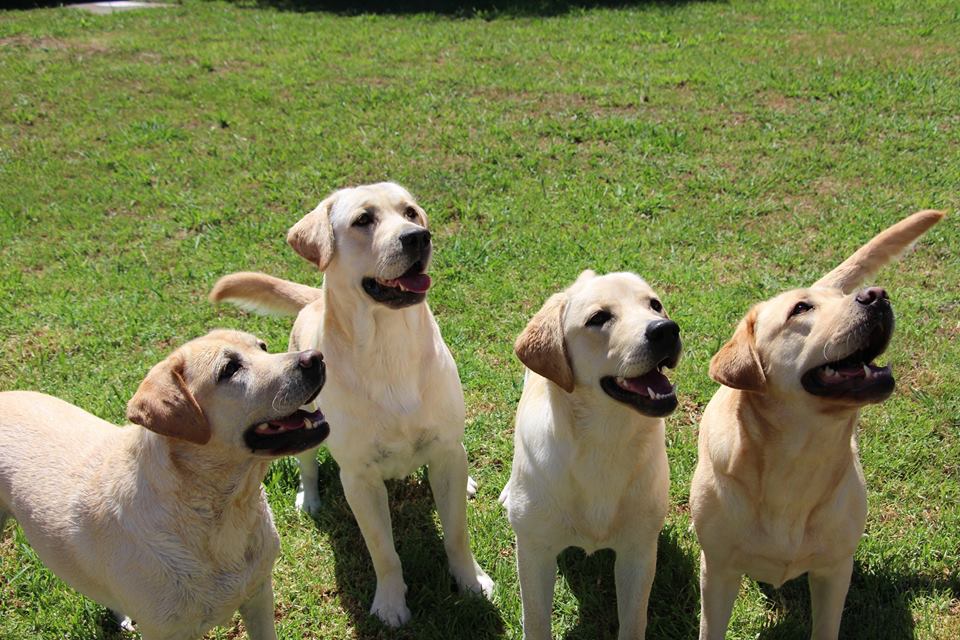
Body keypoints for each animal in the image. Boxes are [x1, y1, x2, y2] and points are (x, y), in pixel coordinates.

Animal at [0, 330, 330, 640]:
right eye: (229, 369)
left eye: (262, 347)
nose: (316, 357)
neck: (223, 510)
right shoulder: (165, 631)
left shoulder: (258, 593)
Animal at [498, 272, 680, 640]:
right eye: (598, 318)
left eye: (654, 304)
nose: (666, 329)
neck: (603, 441)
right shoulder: (535, 553)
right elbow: (535, 621)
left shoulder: (638, 551)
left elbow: (633, 622)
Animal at [688, 211, 944, 640]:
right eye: (801, 309)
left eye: (843, 299)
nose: (876, 295)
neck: (798, 458)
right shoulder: (718, 571)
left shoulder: (834, 571)